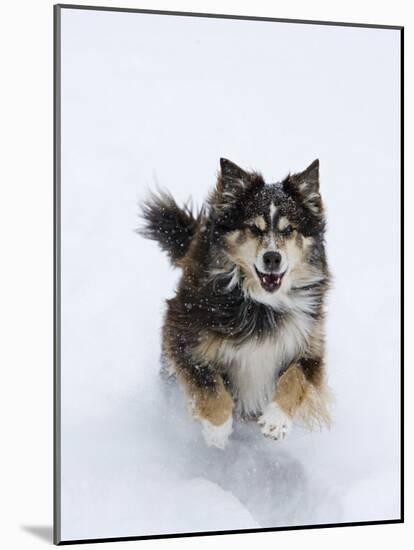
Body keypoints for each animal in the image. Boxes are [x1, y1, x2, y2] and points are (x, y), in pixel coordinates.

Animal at [141, 158, 332, 448]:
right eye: (254, 228)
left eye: (289, 230)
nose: (272, 258)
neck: (261, 304)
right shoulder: (184, 335)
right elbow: (208, 384)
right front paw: (217, 429)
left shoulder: (310, 344)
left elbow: (296, 378)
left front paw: (276, 421)